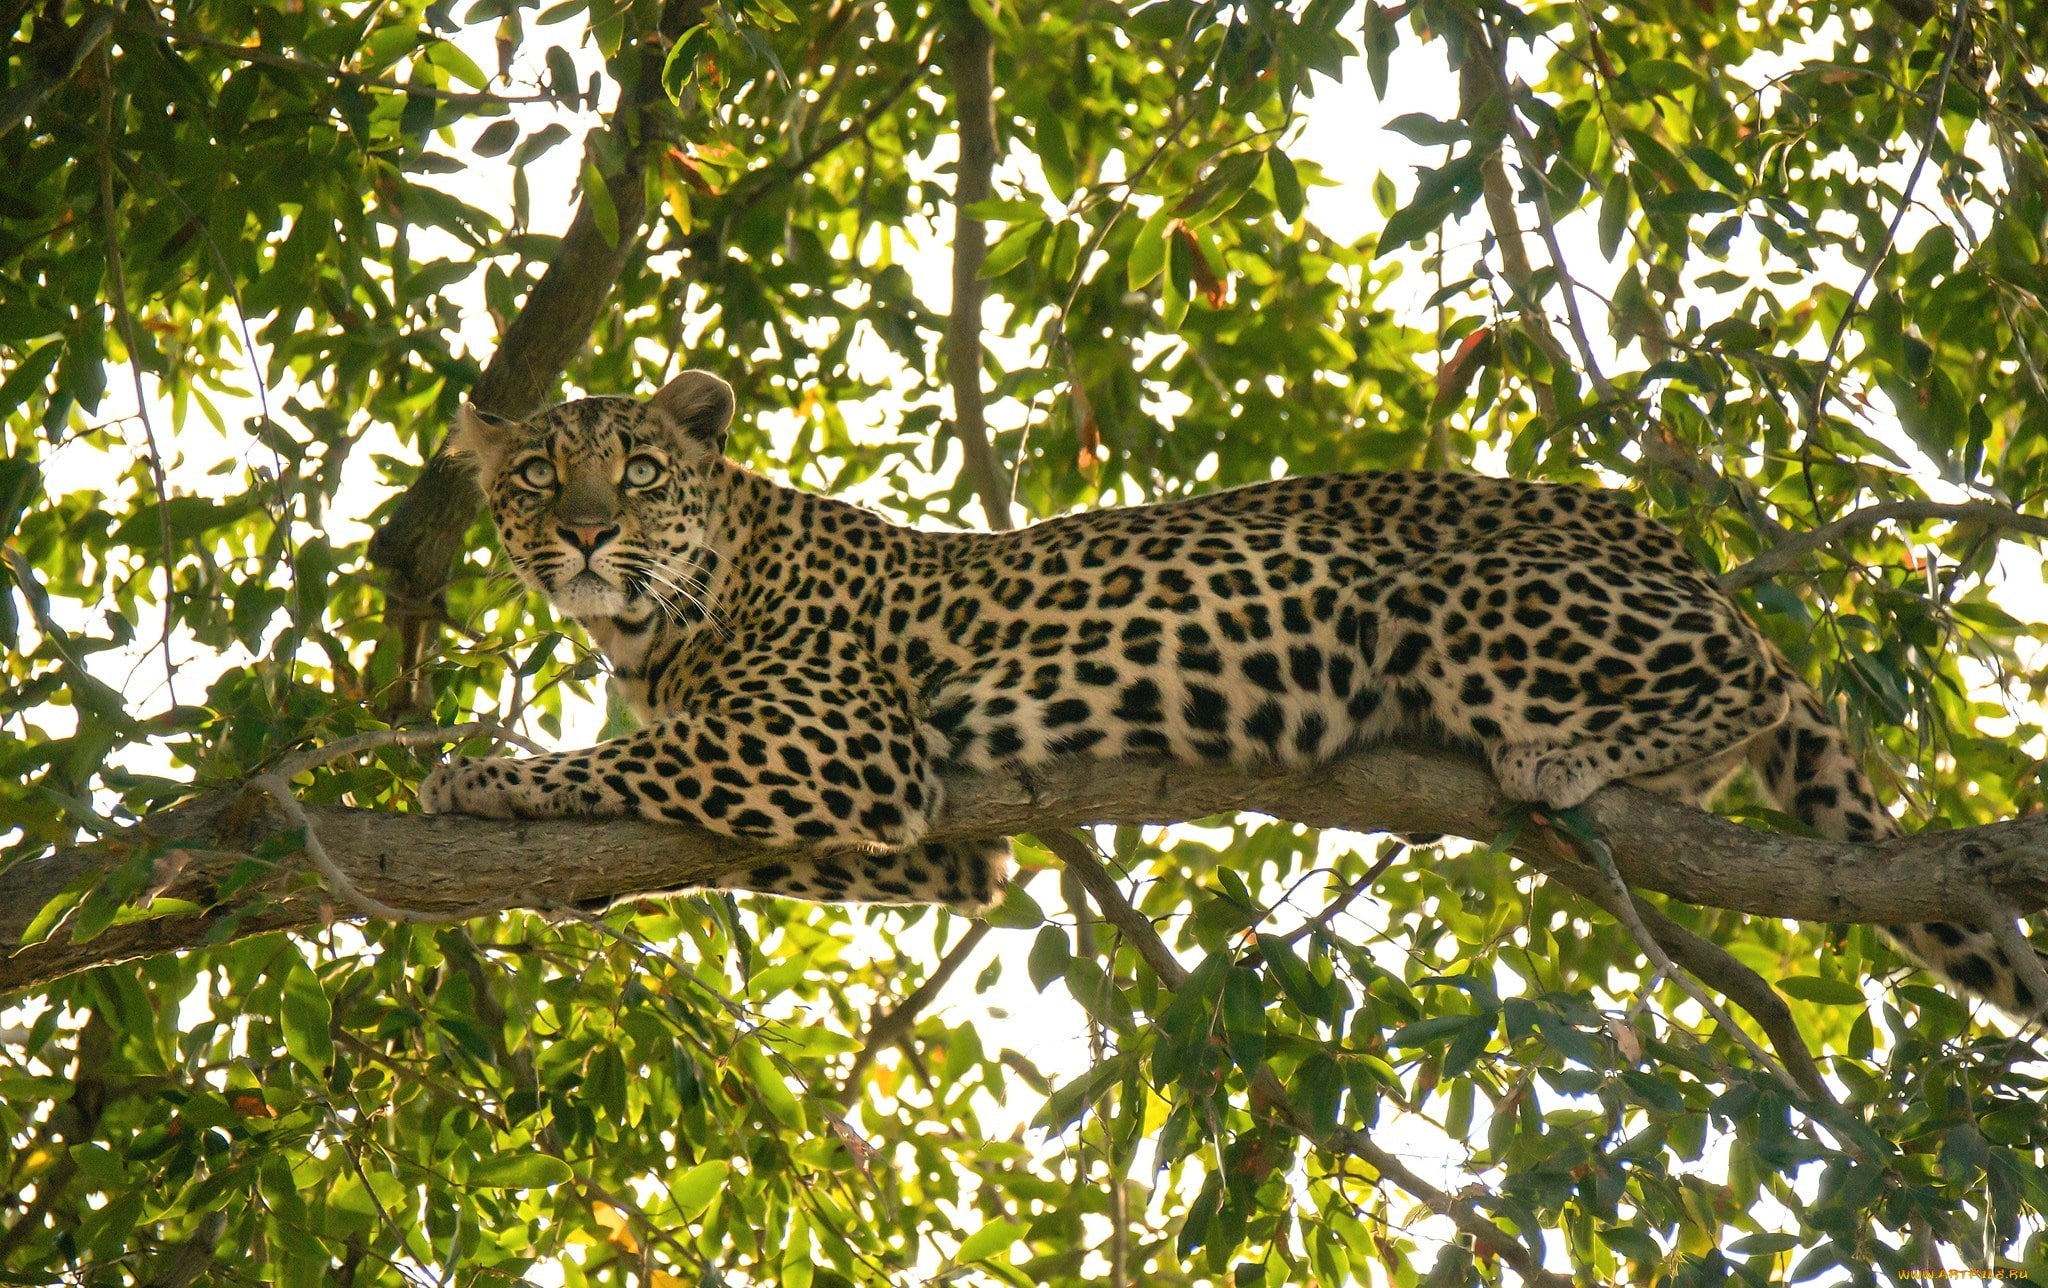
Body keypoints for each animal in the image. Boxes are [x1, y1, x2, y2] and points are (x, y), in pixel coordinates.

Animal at [420, 367, 2039, 1017]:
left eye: (635, 471)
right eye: (532, 478)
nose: (582, 535)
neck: (651, 633)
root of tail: (1667, 537)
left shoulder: (840, 741)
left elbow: (619, 760)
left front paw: (471, 776)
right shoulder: (939, 846)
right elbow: (697, 823)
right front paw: (567, 877)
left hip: (1466, 598)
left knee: (1754, 677)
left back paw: (1567, 758)